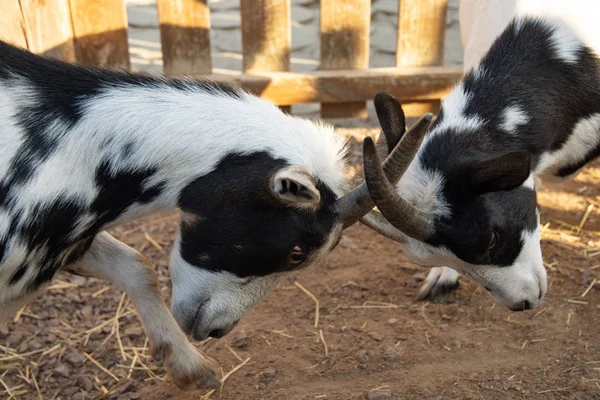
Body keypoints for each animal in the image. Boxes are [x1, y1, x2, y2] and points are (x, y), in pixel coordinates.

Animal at [0, 42, 432, 390]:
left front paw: (192, 369)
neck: (74, 143)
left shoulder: (66, 240)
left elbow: (136, 266)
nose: (216, 330)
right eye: (296, 252)